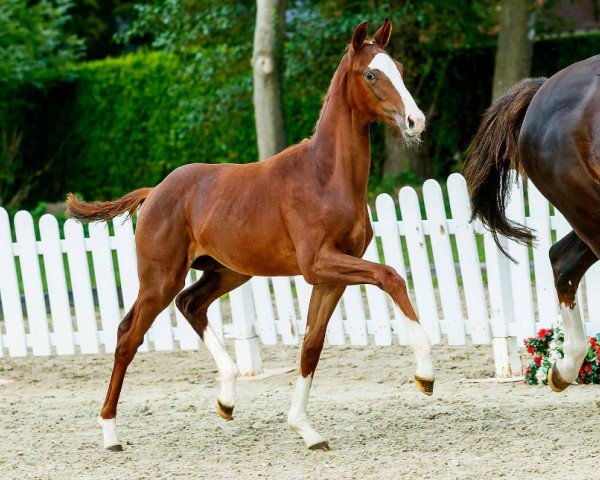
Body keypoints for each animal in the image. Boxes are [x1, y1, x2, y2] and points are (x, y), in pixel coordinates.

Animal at [65, 18, 434, 452]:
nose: (415, 121)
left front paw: (305, 430)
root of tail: (154, 192)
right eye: (371, 74)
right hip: (160, 278)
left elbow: (311, 346)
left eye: (401, 70)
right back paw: (110, 433)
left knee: (190, 305)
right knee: (129, 335)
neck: (325, 177)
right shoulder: (319, 264)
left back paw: (226, 398)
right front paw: (425, 375)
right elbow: (390, 276)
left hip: (228, 272)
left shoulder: (329, 277)